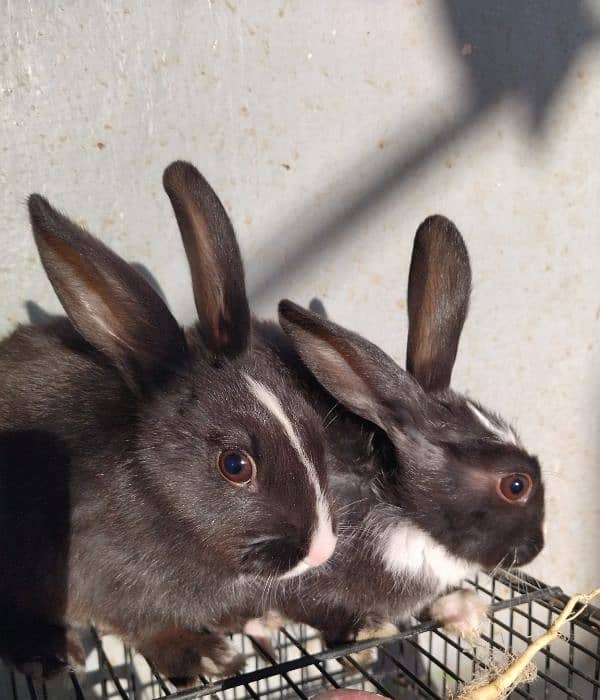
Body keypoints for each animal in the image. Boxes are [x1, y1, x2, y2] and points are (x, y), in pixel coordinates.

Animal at [0, 160, 338, 684]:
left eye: (312, 425)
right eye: (235, 465)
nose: (322, 550)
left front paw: (251, 620)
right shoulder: (105, 582)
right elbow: (147, 630)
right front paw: (207, 657)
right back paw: (47, 654)